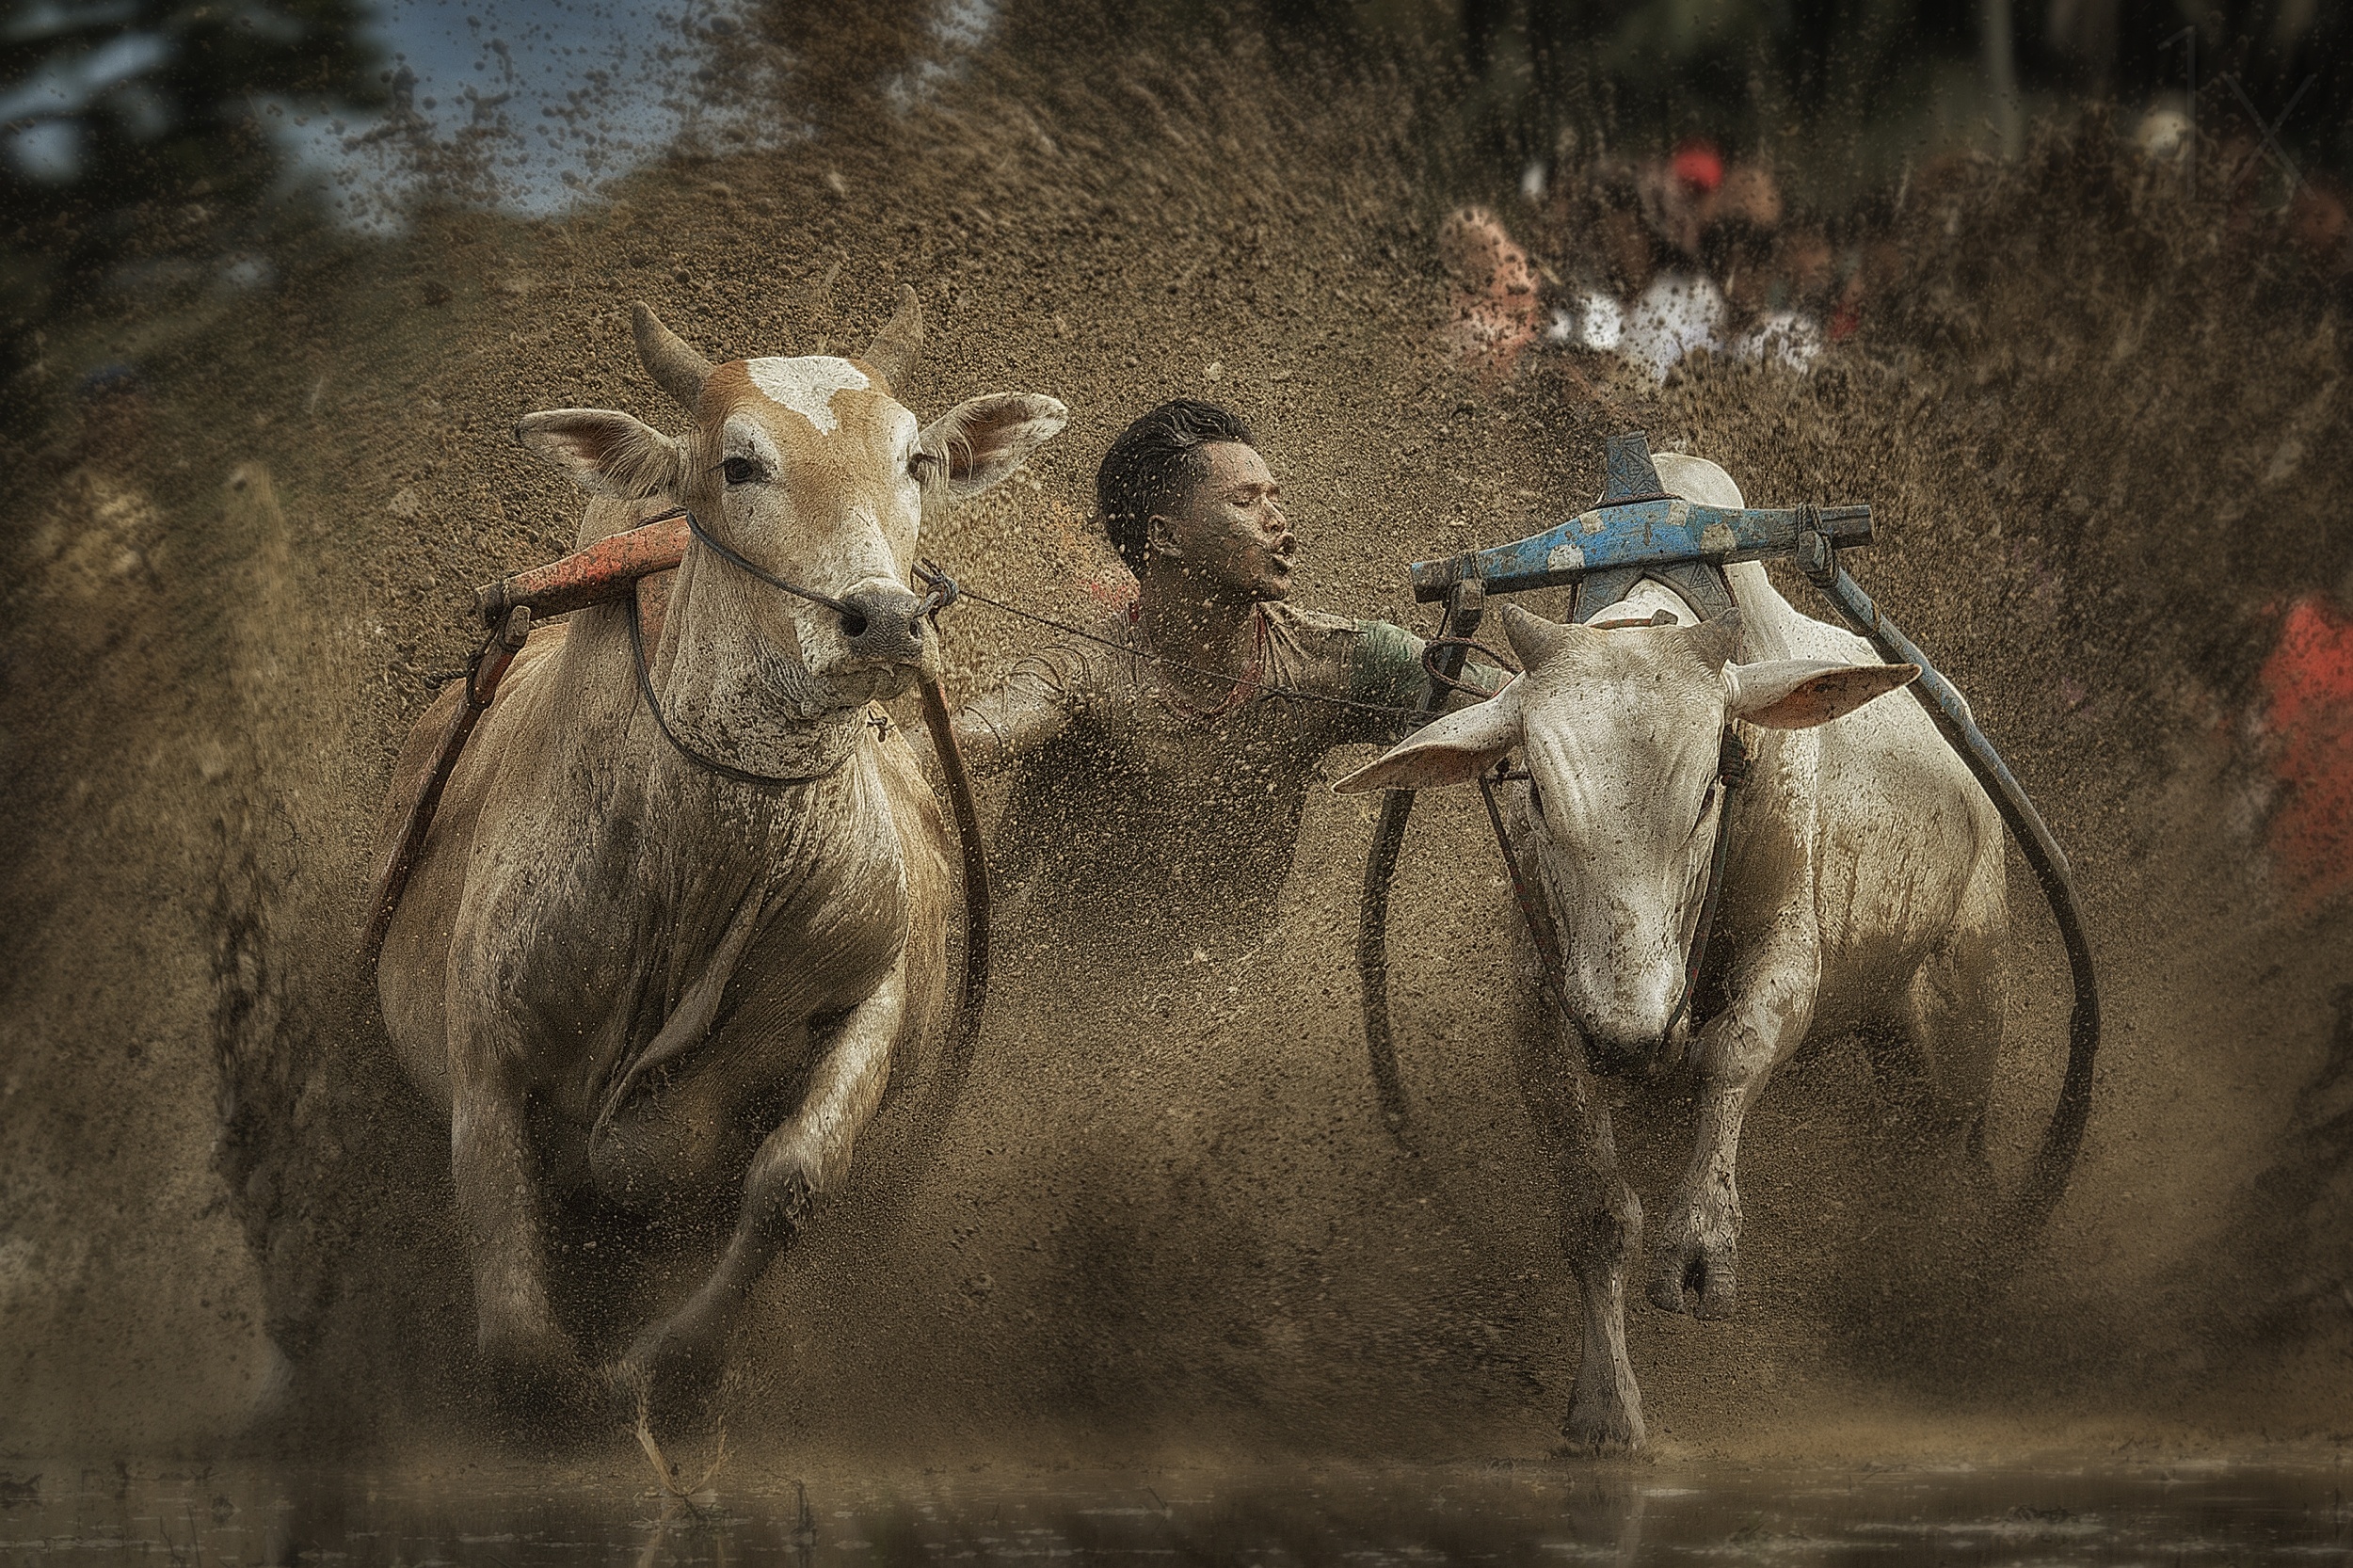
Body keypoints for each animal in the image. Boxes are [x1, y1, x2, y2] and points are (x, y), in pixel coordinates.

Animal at [369, 290, 1066, 1419]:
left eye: (913, 457)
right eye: (738, 465)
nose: (885, 620)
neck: (711, 867)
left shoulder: (873, 991)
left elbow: (790, 1180)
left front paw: (680, 1364)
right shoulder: (485, 1060)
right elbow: (518, 1334)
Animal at [1334, 452, 2003, 1451]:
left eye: (1708, 790)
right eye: (1536, 794)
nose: (1630, 1036)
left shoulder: (1785, 958)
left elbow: (1732, 1056)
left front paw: (1700, 1242)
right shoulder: (1545, 1004)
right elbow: (1598, 1215)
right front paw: (1607, 1411)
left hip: (1955, 1025)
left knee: (1922, 1175)